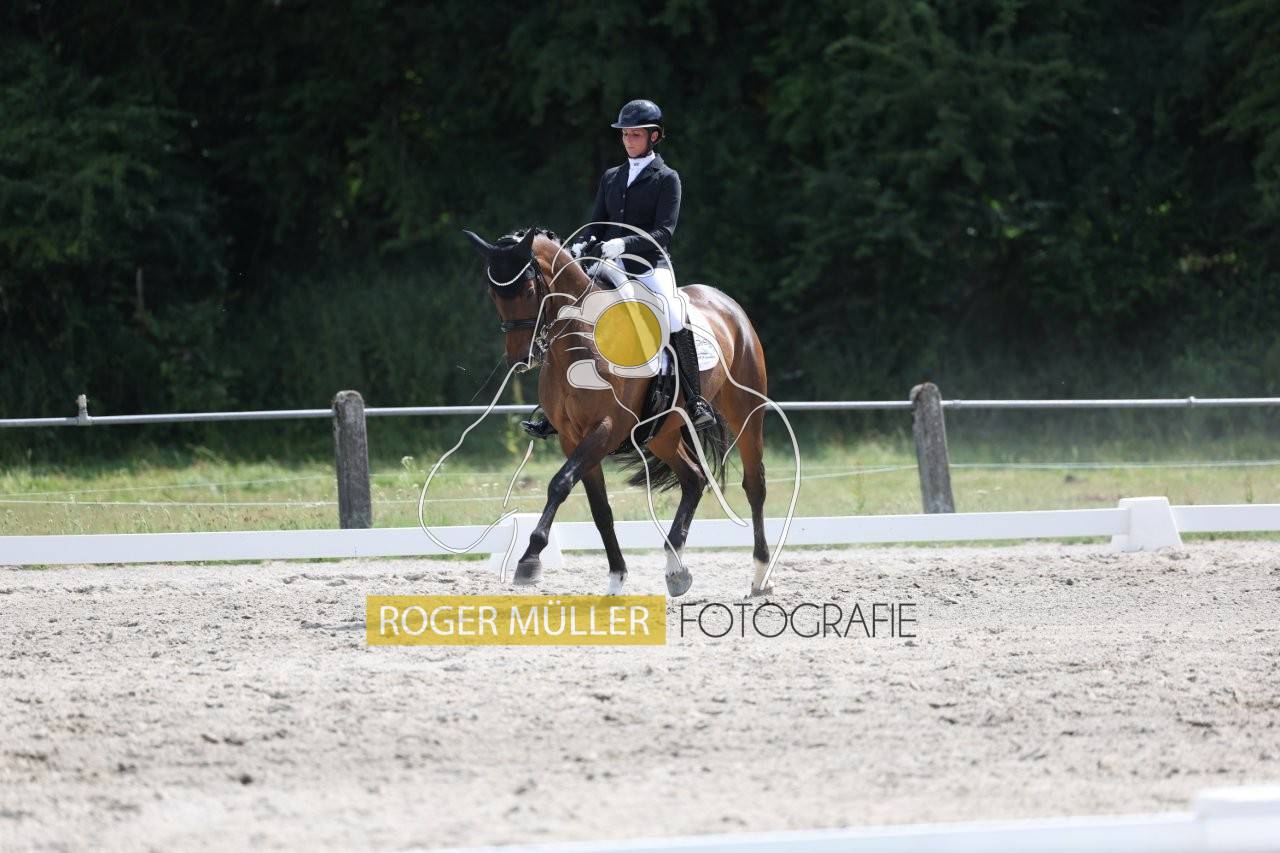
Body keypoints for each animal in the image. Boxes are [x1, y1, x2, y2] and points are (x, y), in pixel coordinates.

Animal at [463, 226, 773, 597]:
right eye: (494, 294)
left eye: (527, 289)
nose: (521, 359)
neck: (580, 340)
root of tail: (725, 302)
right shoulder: (572, 437)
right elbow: (599, 508)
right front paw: (616, 576)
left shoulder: (607, 428)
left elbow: (559, 483)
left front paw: (530, 558)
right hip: (662, 433)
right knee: (694, 478)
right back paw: (675, 569)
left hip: (746, 412)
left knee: (754, 485)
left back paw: (760, 575)